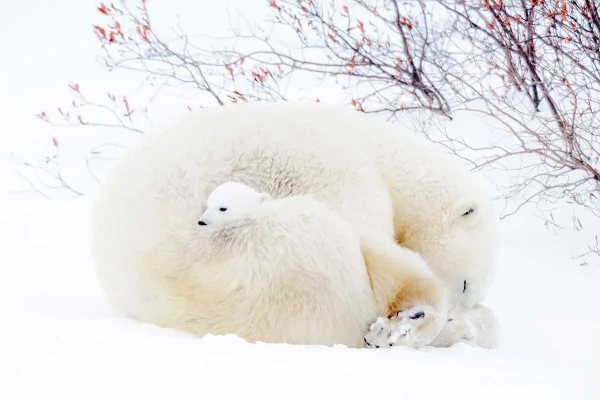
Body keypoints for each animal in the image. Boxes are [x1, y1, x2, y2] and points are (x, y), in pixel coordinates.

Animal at [90, 101, 496, 350]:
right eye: (465, 283)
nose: (459, 312)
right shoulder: (334, 166)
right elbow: (370, 237)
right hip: (267, 253)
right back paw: (407, 323)